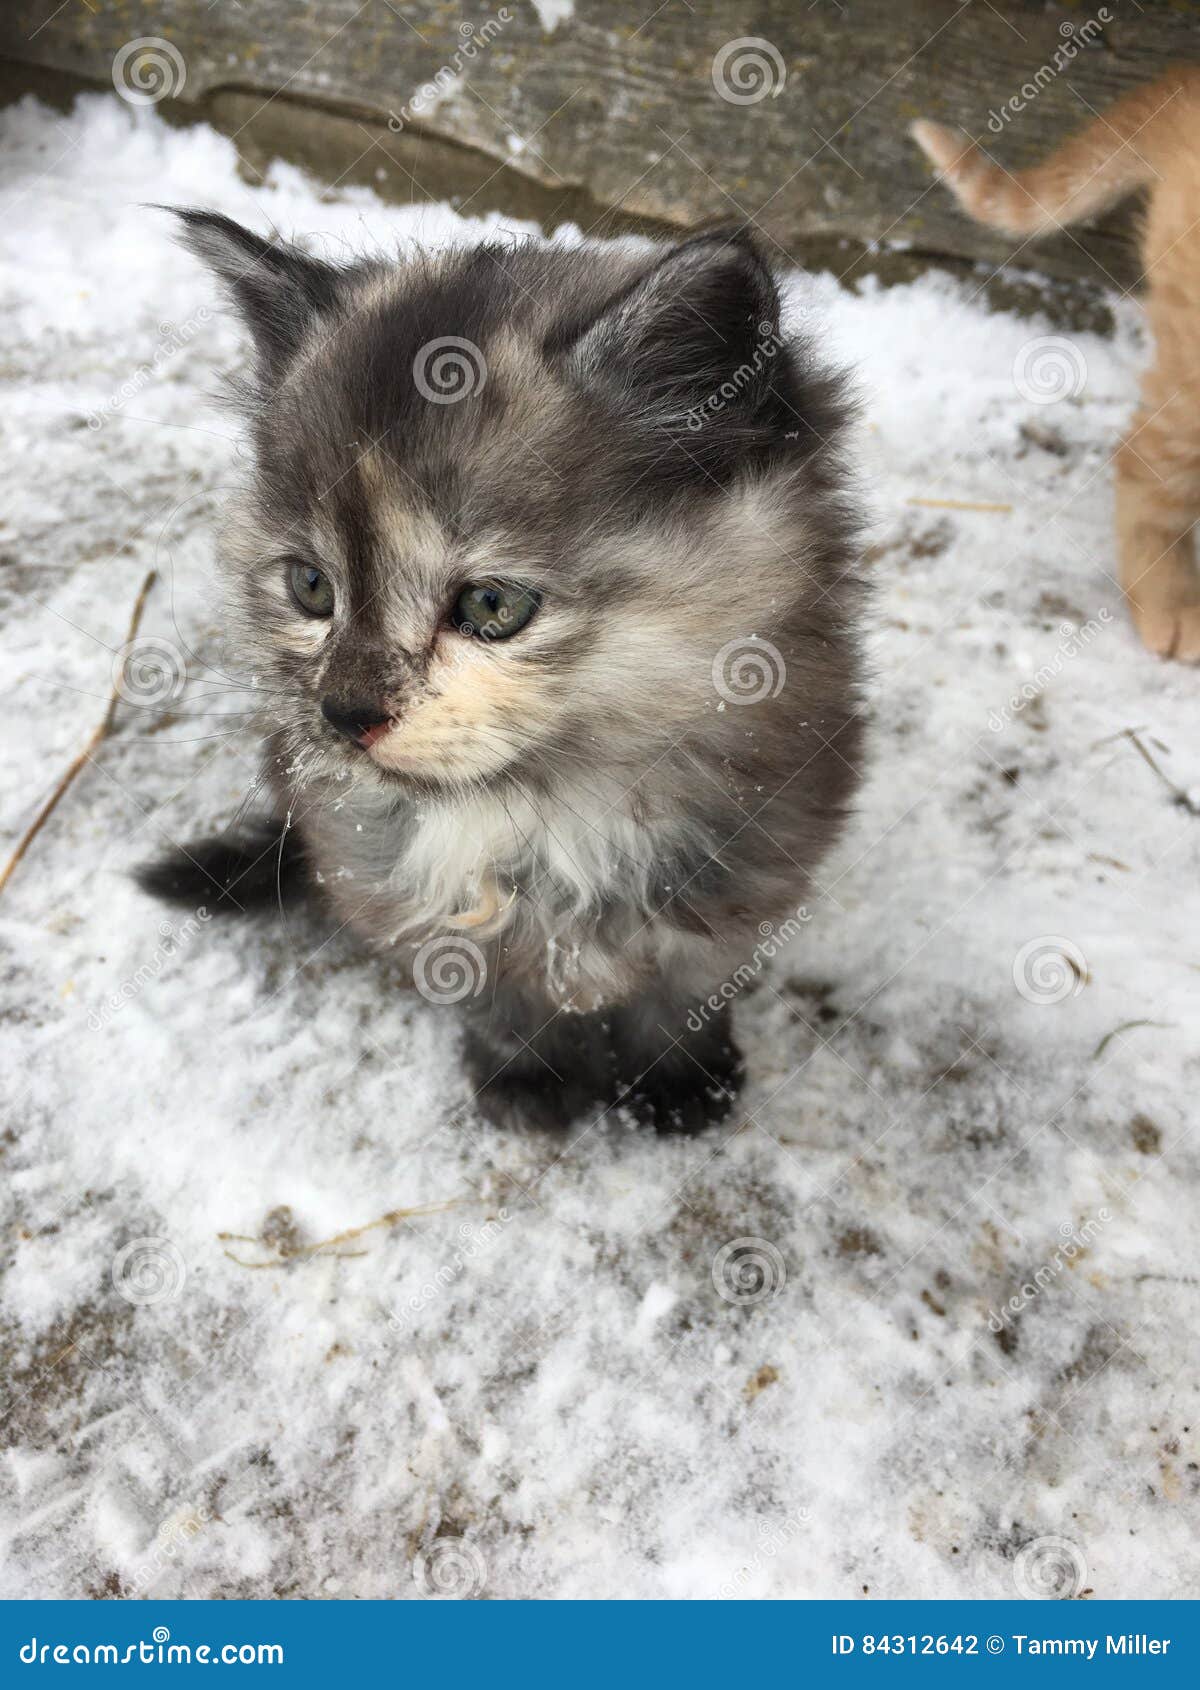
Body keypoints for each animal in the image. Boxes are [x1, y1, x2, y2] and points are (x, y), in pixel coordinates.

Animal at [143, 211, 865, 1135]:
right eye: (309, 587)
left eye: (491, 604)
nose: (343, 715)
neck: (542, 815)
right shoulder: (378, 868)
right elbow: (484, 985)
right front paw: (525, 1075)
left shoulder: (751, 864)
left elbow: (687, 987)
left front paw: (681, 1080)